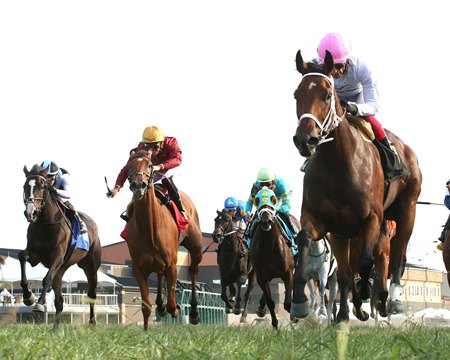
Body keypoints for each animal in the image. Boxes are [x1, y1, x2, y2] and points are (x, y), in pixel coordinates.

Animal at [20, 164, 101, 324]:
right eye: (25, 186)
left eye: (42, 186)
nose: (30, 212)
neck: (46, 223)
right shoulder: (34, 254)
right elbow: (22, 255)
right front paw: (28, 297)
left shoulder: (57, 256)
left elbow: (46, 279)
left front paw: (39, 303)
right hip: (62, 269)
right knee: (59, 302)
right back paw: (55, 328)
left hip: (90, 266)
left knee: (91, 293)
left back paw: (92, 322)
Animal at [125, 149, 202, 330]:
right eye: (129, 165)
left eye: (149, 165)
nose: (138, 185)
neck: (150, 228)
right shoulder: (138, 268)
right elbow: (146, 305)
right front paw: (146, 331)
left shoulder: (172, 265)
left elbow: (172, 303)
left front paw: (176, 309)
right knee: (160, 275)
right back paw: (160, 307)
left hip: (196, 246)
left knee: (193, 271)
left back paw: (194, 313)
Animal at [248, 190, 298, 330]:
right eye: (257, 200)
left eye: (273, 199)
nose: (266, 221)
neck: (269, 246)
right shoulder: (261, 276)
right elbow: (271, 302)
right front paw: (275, 325)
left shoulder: (288, 273)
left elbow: (287, 303)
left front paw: (294, 317)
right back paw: (261, 308)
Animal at [292, 48, 422, 324]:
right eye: (297, 94)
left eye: (326, 95)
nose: (305, 140)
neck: (339, 165)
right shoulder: (321, 221)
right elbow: (306, 240)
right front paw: (299, 302)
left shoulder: (372, 218)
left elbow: (364, 262)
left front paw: (366, 295)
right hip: (343, 234)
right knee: (346, 271)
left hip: (407, 210)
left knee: (396, 256)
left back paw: (392, 299)